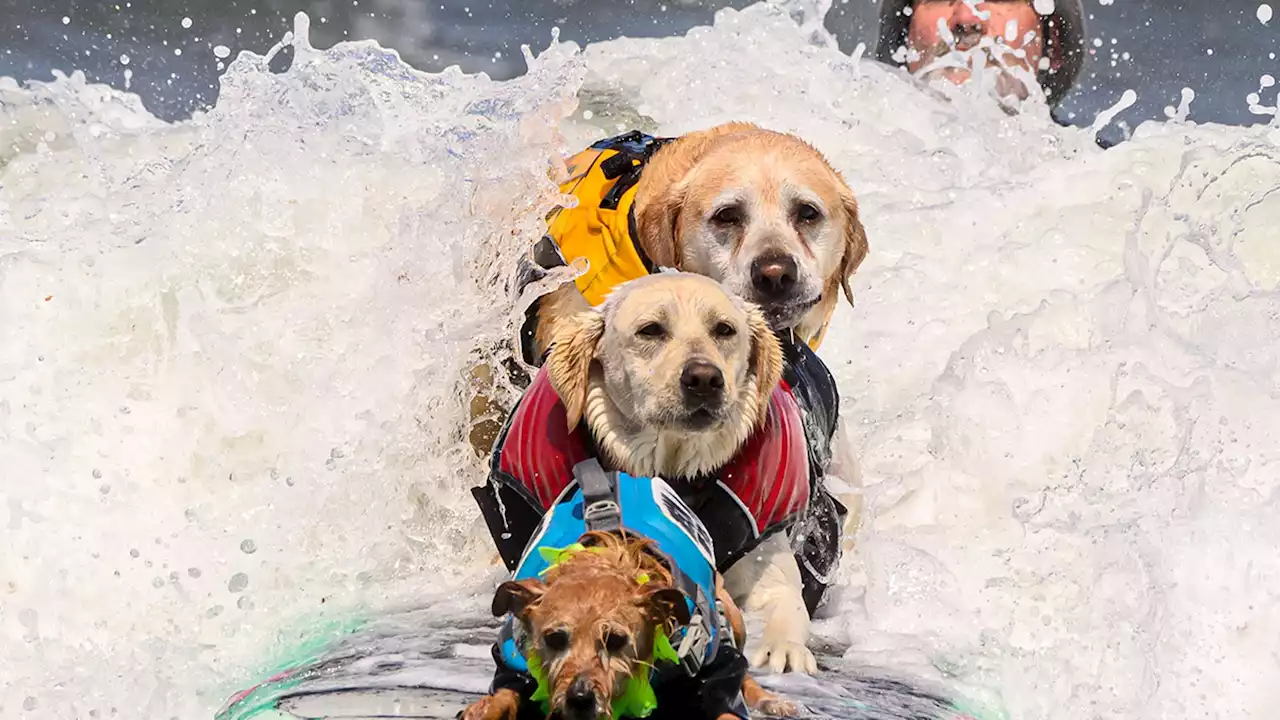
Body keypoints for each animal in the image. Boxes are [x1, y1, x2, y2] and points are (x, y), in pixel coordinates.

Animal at [460, 527, 798, 717]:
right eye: (554, 638)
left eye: (616, 640)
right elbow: (504, 694)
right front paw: (484, 708)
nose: (580, 698)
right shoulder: (516, 665)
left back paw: (771, 700)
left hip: (731, 612)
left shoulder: (714, 666)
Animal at [545, 269, 844, 671]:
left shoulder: (766, 562)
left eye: (724, 330)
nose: (704, 379)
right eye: (651, 330)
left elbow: (783, 600)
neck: (678, 473)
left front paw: (783, 650)